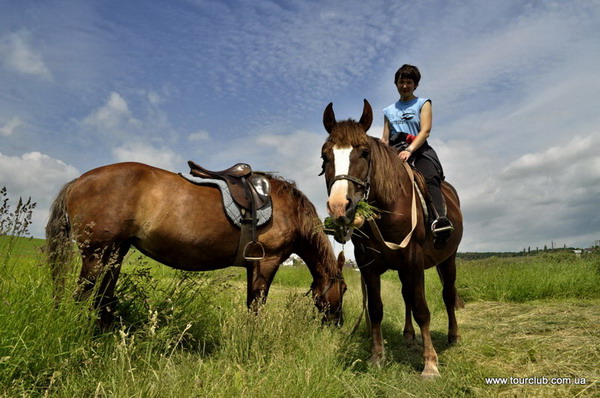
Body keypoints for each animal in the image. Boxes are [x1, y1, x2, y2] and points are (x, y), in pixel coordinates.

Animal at [45, 161, 346, 326]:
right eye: (343, 289)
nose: (338, 323)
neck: (290, 211)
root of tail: (78, 181)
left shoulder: (254, 265)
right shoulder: (267, 262)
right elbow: (256, 305)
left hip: (115, 252)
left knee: (103, 298)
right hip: (95, 254)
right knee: (83, 297)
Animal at [322, 99, 462, 376]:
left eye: (365, 153)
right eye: (325, 156)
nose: (339, 207)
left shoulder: (413, 259)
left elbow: (422, 309)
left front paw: (430, 363)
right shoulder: (368, 264)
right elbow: (376, 309)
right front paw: (377, 357)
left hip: (447, 259)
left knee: (447, 293)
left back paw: (453, 336)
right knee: (407, 295)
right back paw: (408, 335)